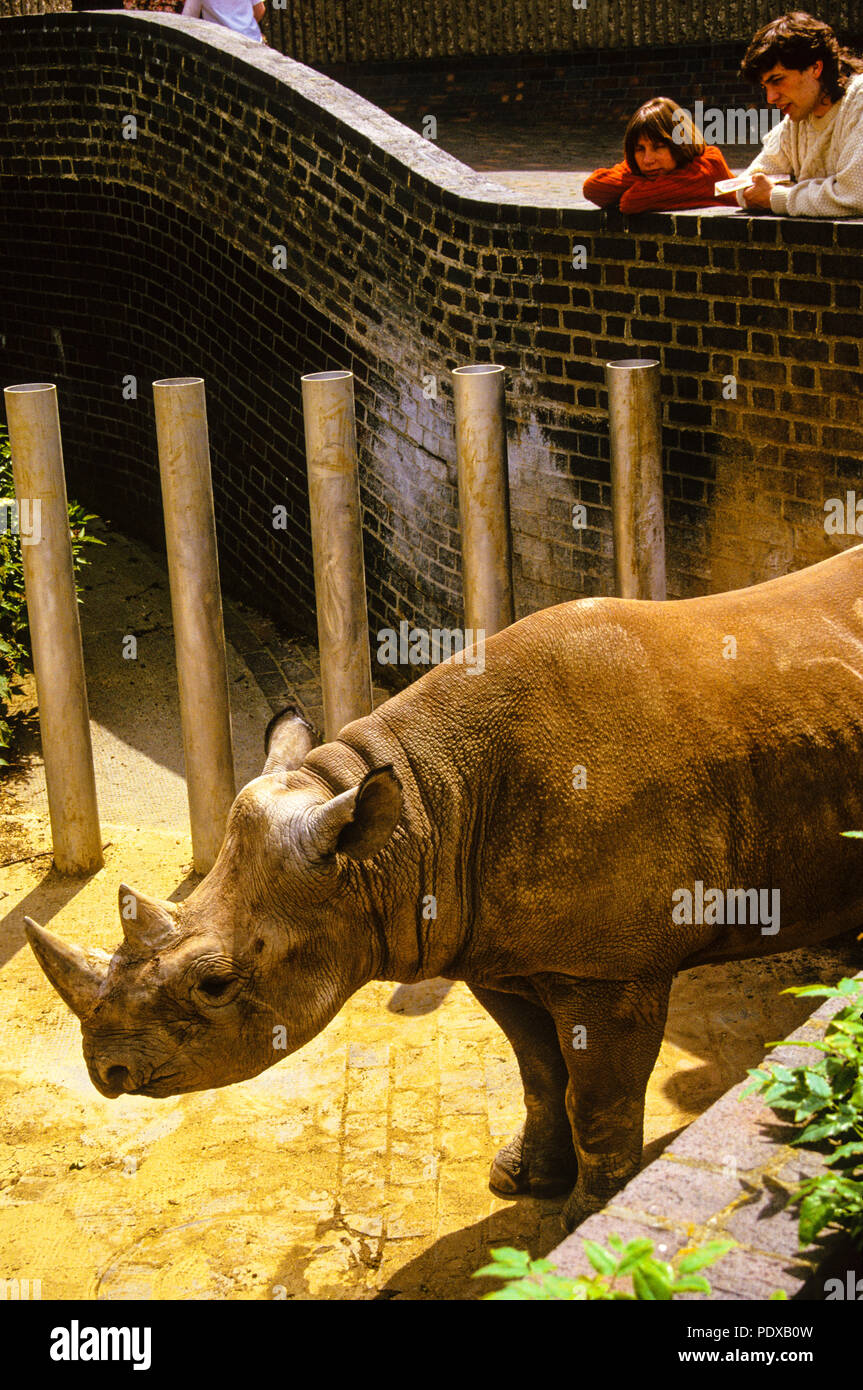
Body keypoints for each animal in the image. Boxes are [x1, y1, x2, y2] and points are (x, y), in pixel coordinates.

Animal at [24, 543, 863, 1230]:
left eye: (215, 985)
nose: (106, 1073)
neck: (416, 820)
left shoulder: (613, 968)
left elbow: (598, 1095)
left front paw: (587, 1222)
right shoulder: (497, 947)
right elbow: (538, 1072)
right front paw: (521, 1180)